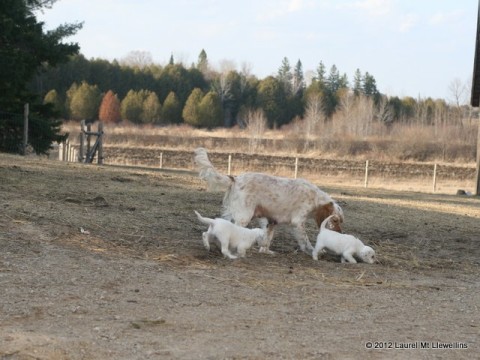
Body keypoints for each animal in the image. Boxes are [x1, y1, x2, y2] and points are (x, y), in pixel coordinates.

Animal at [193, 148, 344, 255]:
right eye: (335, 220)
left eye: (340, 221)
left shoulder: (271, 221)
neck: (315, 198)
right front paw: (314, 251)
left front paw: (265, 251)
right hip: (243, 217)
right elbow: (305, 241)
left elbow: (266, 240)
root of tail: (235, 179)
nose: (340, 233)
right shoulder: (298, 222)